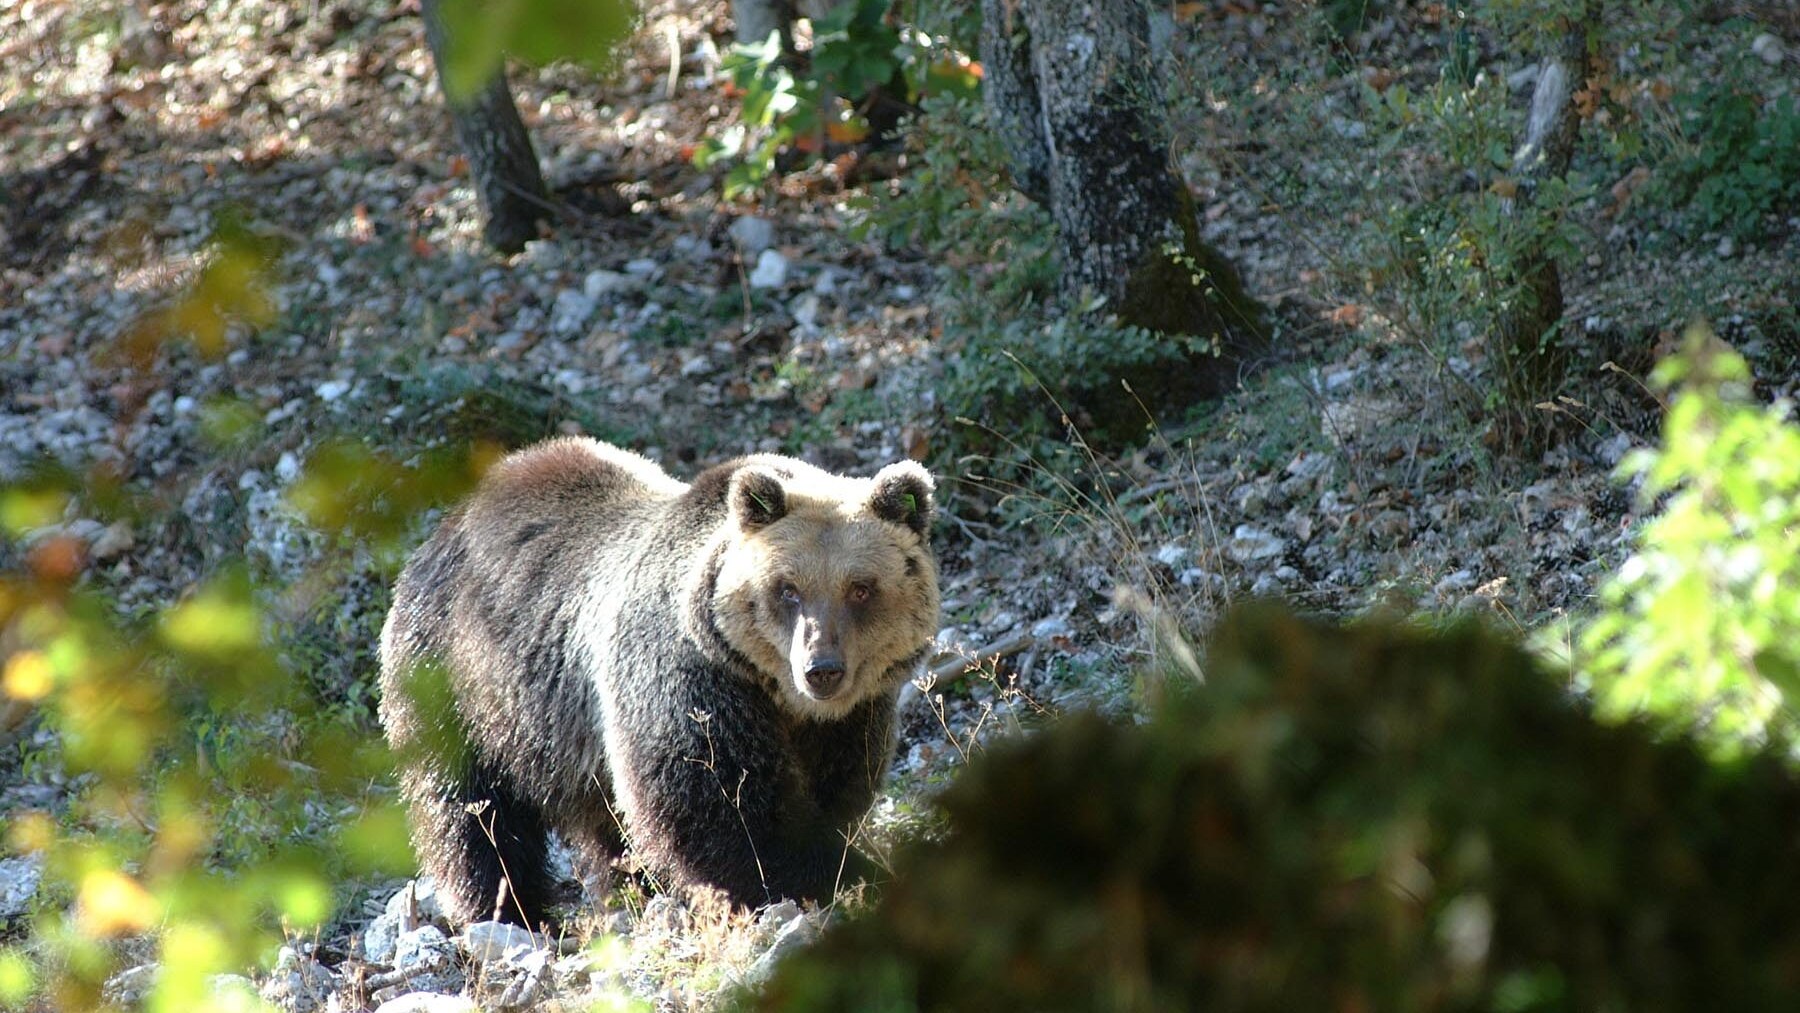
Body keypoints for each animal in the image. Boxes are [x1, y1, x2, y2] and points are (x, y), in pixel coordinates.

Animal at [377, 437, 940, 927]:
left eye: (861, 588)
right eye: (788, 589)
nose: (822, 668)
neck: (779, 696)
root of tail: (448, 522)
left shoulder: (850, 718)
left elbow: (837, 790)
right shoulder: (686, 678)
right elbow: (720, 806)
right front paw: (838, 876)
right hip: (460, 680)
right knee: (469, 810)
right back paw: (510, 911)